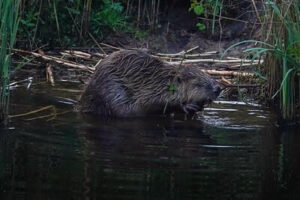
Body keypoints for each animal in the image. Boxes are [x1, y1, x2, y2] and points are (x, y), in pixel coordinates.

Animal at [79, 49, 220, 117]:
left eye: (208, 76)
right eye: (198, 83)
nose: (218, 88)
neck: (161, 81)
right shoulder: (150, 92)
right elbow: (150, 104)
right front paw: (188, 106)